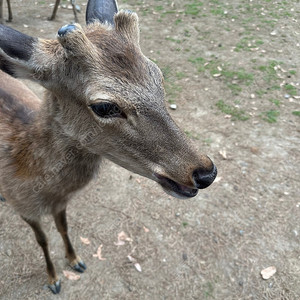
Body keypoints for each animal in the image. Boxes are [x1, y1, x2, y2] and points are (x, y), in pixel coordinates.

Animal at [0, 0, 217, 294]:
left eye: (158, 75)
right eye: (104, 106)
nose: (205, 172)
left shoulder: (61, 203)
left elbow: (64, 228)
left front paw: (76, 260)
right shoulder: (24, 208)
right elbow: (42, 240)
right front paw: (54, 279)